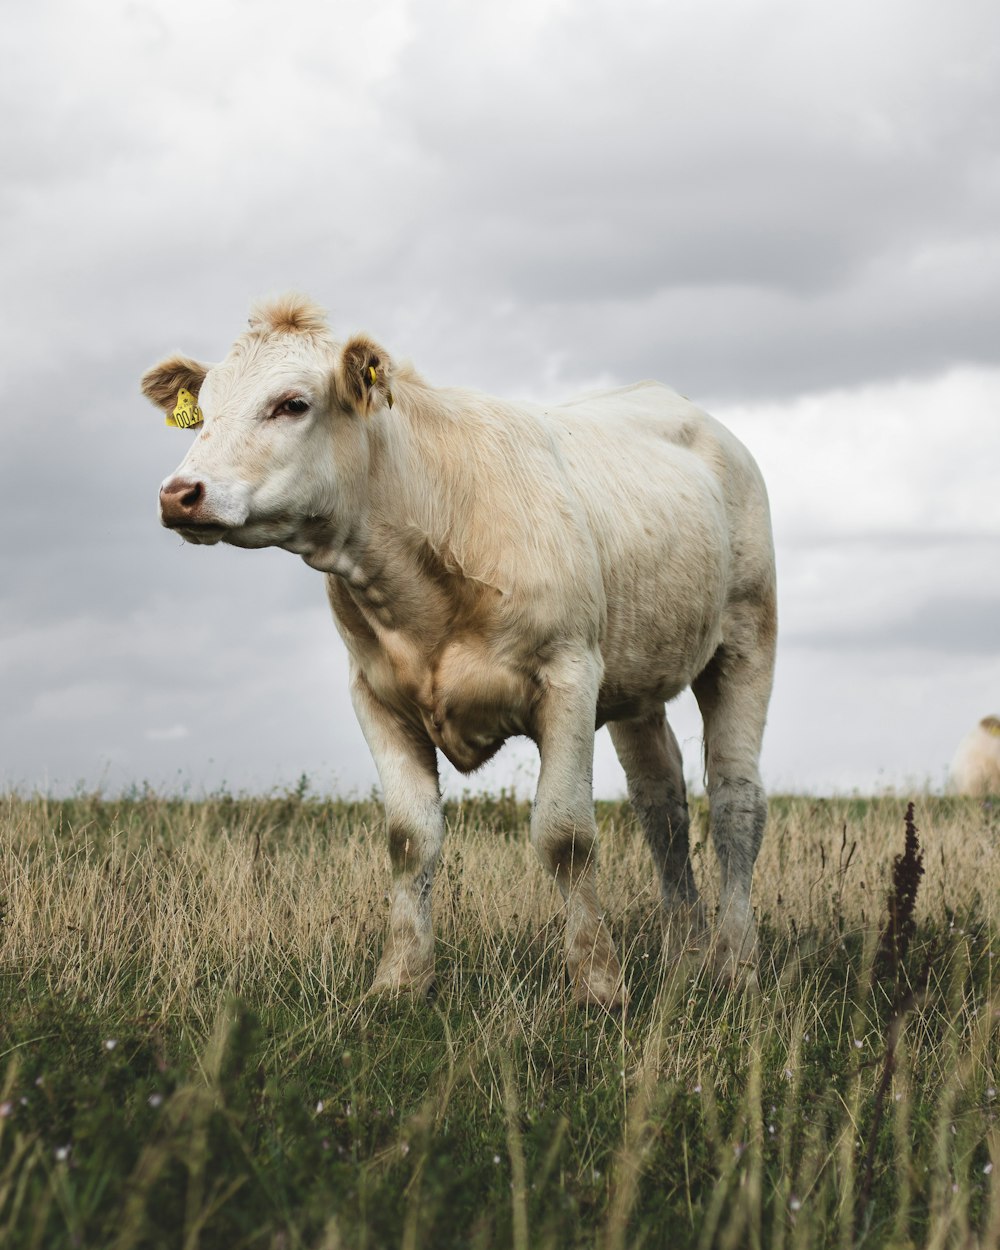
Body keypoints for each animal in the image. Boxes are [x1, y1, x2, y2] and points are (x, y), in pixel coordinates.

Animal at [144, 292, 775, 1005]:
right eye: (204, 408)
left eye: (292, 403)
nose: (179, 493)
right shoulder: (375, 695)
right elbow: (409, 839)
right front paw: (399, 978)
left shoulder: (569, 674)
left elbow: (566, 835)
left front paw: (597, 983)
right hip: (638, 681)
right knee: (662, 805)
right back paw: (687, 956)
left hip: (747, 636)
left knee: (736, 800)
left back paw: (735, 961)